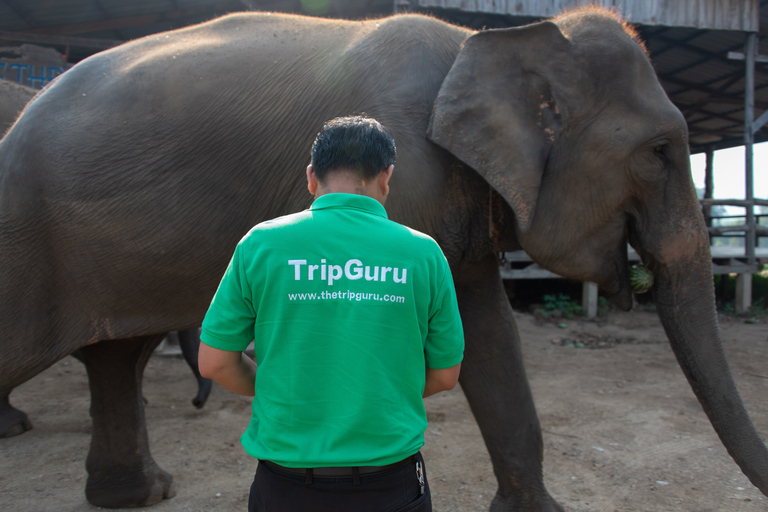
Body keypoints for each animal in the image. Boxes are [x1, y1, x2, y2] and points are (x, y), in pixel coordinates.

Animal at [0, 6, 764, 510]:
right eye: (660, 151)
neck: (484, 42)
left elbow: (487, 334)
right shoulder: (411, 181)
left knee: (116, 358)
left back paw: (141, 495)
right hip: (28, 242)